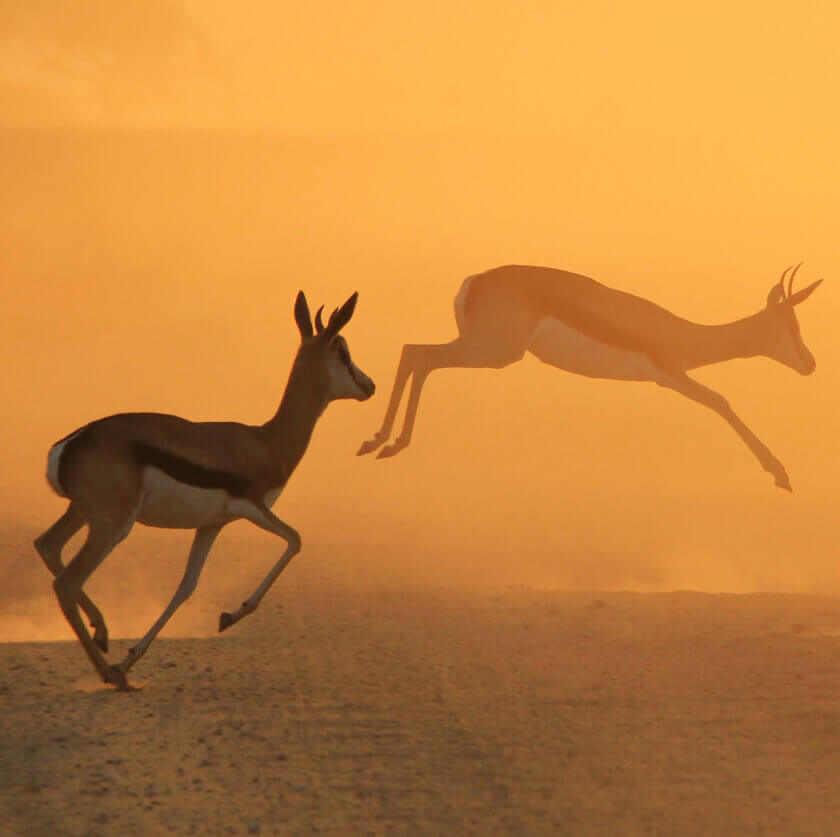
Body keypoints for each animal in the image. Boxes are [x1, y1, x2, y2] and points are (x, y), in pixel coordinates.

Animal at [35, 292, 374, 690]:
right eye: (343, 351)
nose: (369, 386)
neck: (268, 441)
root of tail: (71, 444)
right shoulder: (254, 508)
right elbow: (295, 539)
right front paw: (229, 616)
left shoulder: (212, 525)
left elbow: (186, 586)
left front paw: (130, 658)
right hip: (112, 525)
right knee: (66, 583)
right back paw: (111, 675)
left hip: (81, 513)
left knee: (47, 546)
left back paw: (104, 639)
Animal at [358, 264, 821, 490]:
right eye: (790, 325)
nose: (810, 363)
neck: (679, 331)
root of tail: (475, 282)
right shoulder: (671, 374)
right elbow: (720, 401)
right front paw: (780, 474)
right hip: (494, 352)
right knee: (421, 356)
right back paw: (386, 443)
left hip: (481, 347)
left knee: (413, 352)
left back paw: (379, 443)